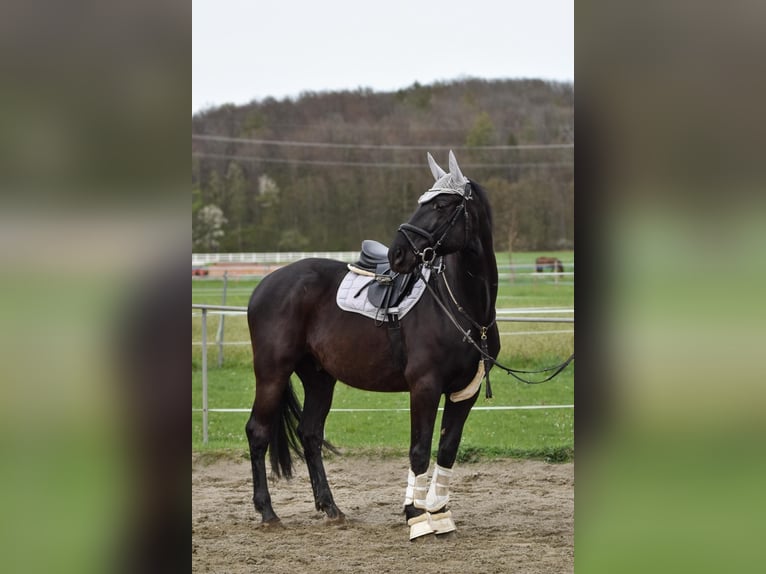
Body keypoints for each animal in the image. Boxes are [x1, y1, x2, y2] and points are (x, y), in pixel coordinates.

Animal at [243, 151, 500, 544]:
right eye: (422, 202)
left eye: (442, 204)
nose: (397, 253)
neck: (465, 307)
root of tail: (265, 284)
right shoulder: (424, 387)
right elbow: (419, 450)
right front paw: (416, 517)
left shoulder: (463, 392)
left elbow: (447, 450)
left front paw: (440, 514)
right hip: (272, 372)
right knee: (258, 432)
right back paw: (268, 513)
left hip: (319, 378)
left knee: (310, 434)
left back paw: (331, 509)